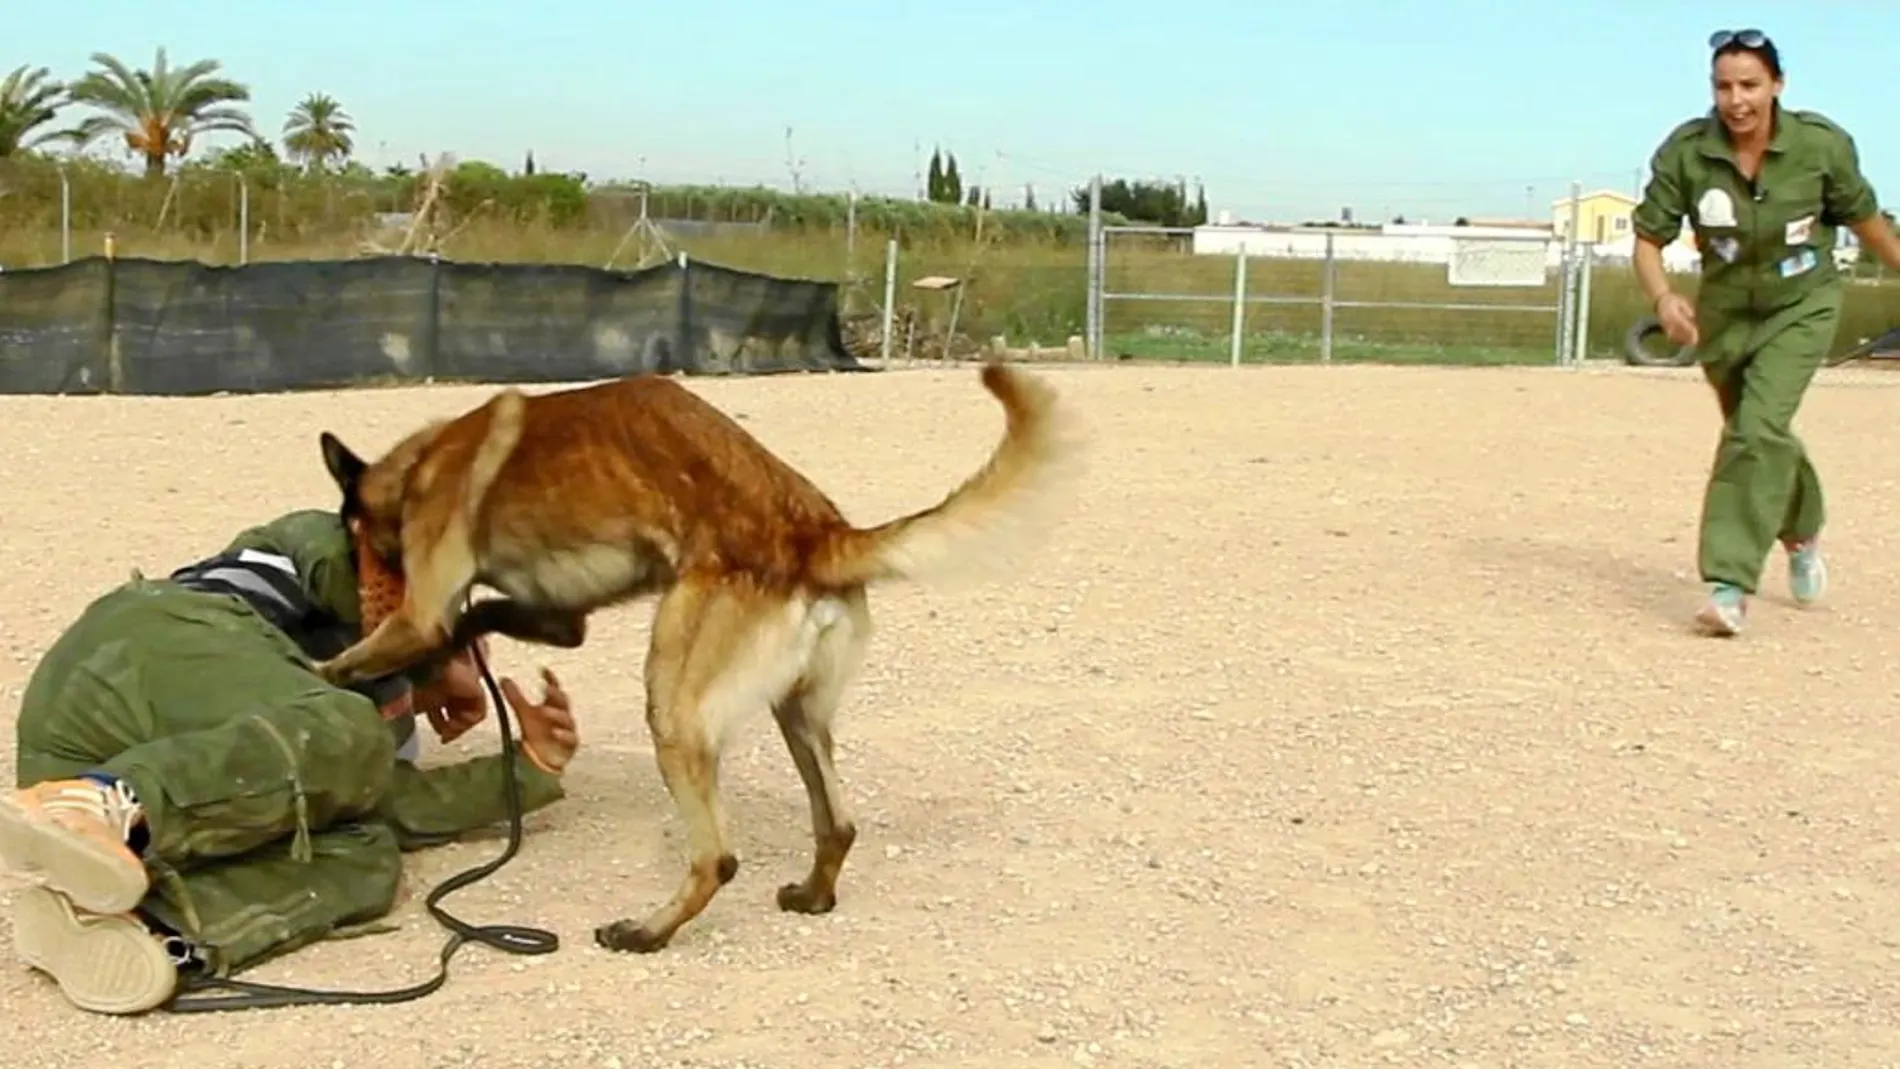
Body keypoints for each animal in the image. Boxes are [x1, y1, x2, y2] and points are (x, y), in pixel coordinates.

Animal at [313, 364, 1086, 956]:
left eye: (350, 532)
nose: (351, 577)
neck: (420, 466)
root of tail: (816, 534)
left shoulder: (422, 611)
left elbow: (369, 654)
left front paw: (319, 673)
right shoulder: (560, 618)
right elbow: (485, 615)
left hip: (675, 706)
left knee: (716, 856)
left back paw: (646, 931)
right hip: (796, 712)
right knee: (837, 822)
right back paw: (812, 893)